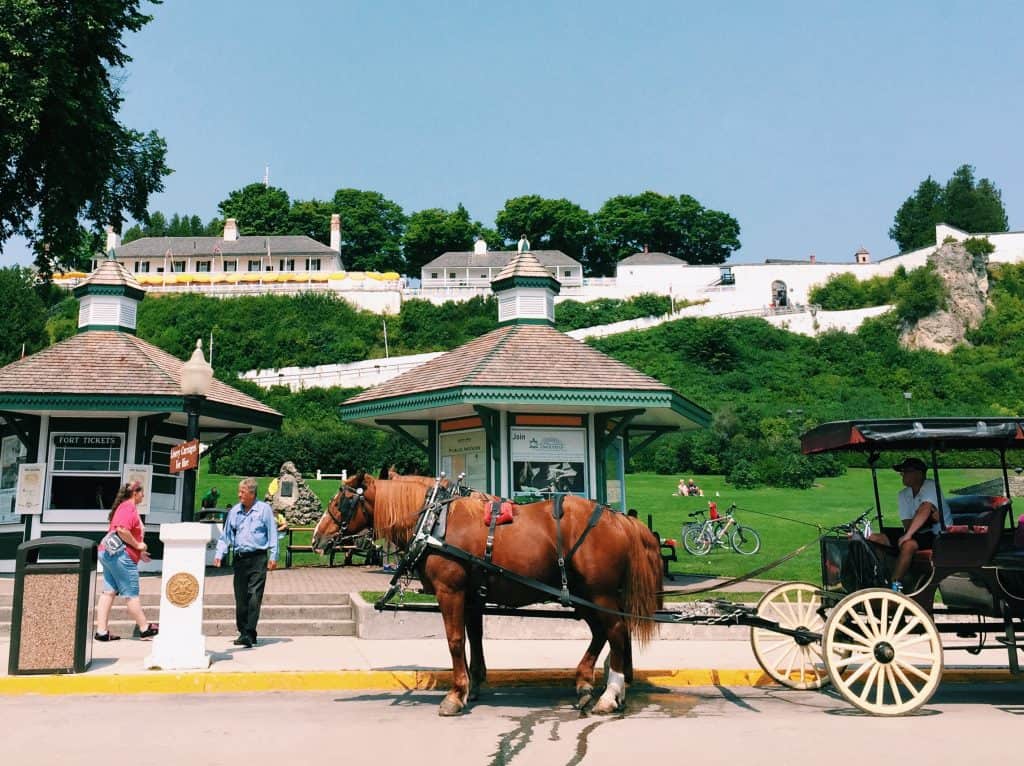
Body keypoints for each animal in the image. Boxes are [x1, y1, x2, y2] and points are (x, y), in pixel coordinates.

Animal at [311, 469, 663, 716]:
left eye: (341, 501)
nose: (316, 538)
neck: (434, 522)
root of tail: (620, 519)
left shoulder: (450, 591)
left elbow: (455, 640)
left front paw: (455, 695)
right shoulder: (472, 596)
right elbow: (475, 638)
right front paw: (474, 684)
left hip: (600, 593)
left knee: (616, 631)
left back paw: (609, 695)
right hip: (583, 594)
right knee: (603, 633)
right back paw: (586, 683)